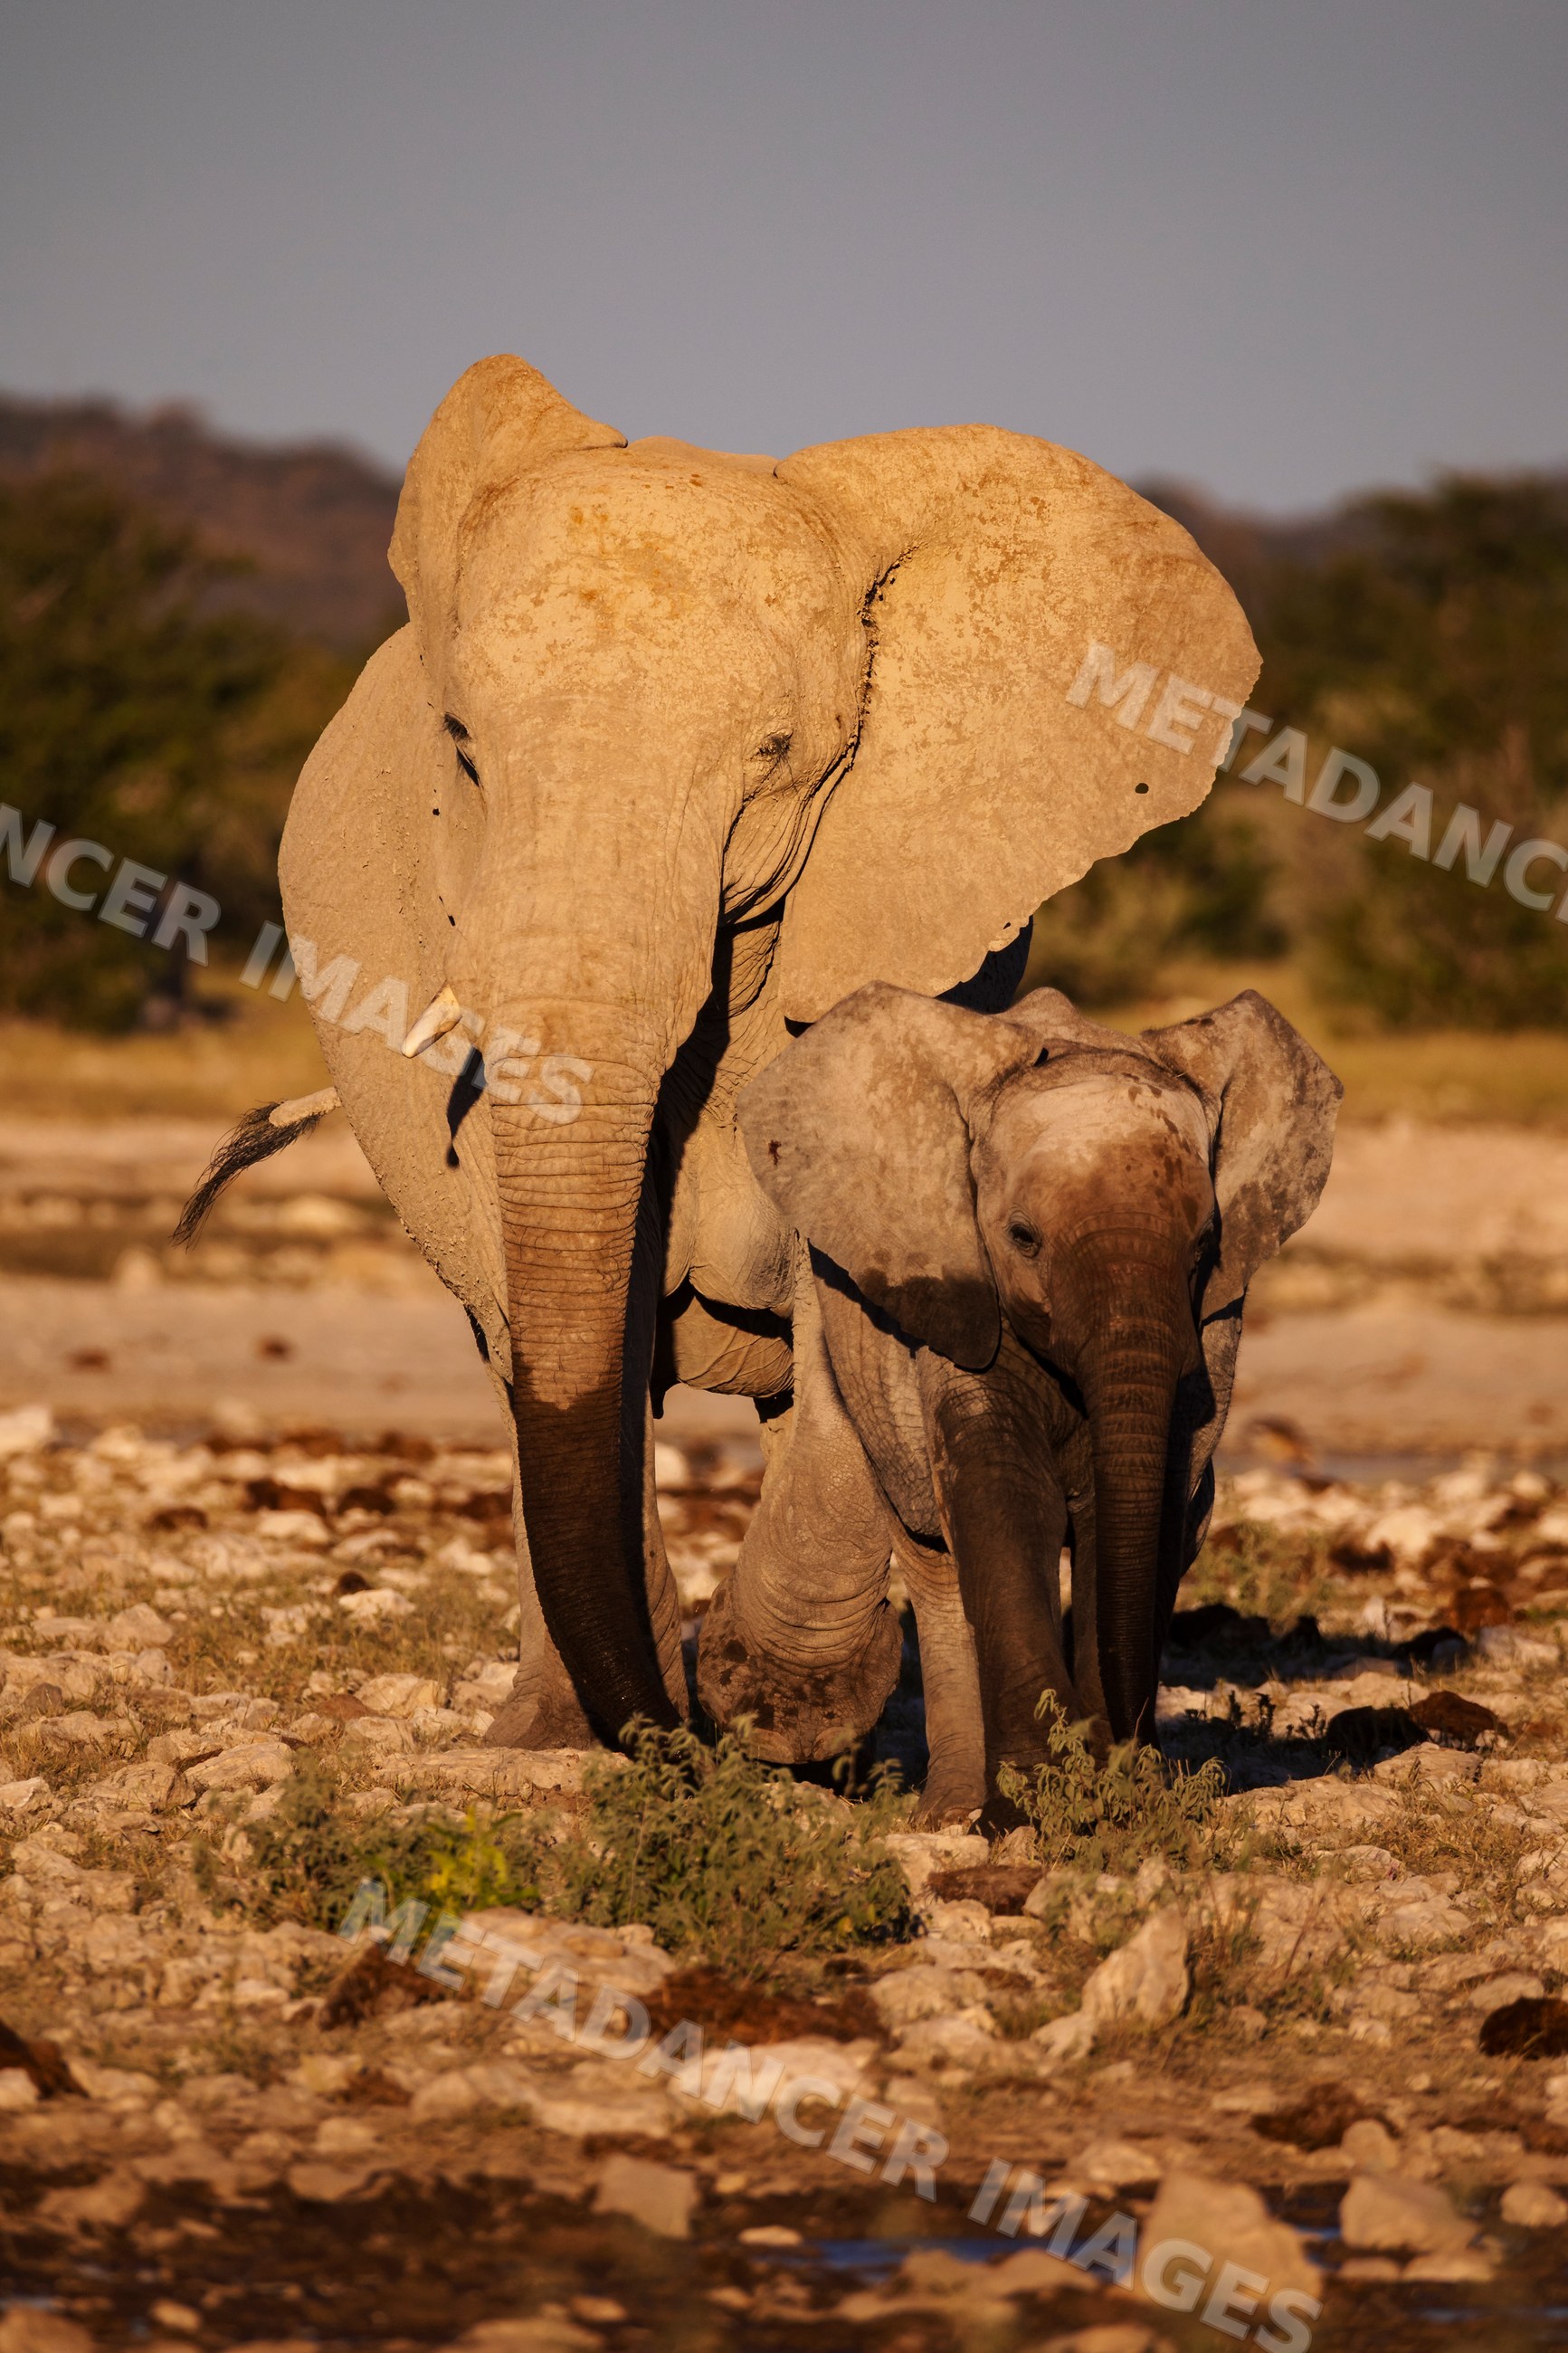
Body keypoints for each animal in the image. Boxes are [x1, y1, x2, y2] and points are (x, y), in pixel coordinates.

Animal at [263, 351, 1259, 1754]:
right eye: (459, 747)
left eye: (778, 756)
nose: (672, 1733)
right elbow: (569, 1328)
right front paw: (680, 1718)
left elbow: (841, 1295)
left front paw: (774, 1699)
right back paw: (552, 1739)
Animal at [696, 984, 1340, 1823]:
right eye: (1022, 1237)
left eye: (1205, 1244)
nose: (1128, 1754)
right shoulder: (955, 1296)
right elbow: (1005, 1494)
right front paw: (1045, 1799)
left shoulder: (1212, 1328)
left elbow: (1134, 1507)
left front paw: (1114, 1794)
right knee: (936, 1570)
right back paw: (951, 1813)